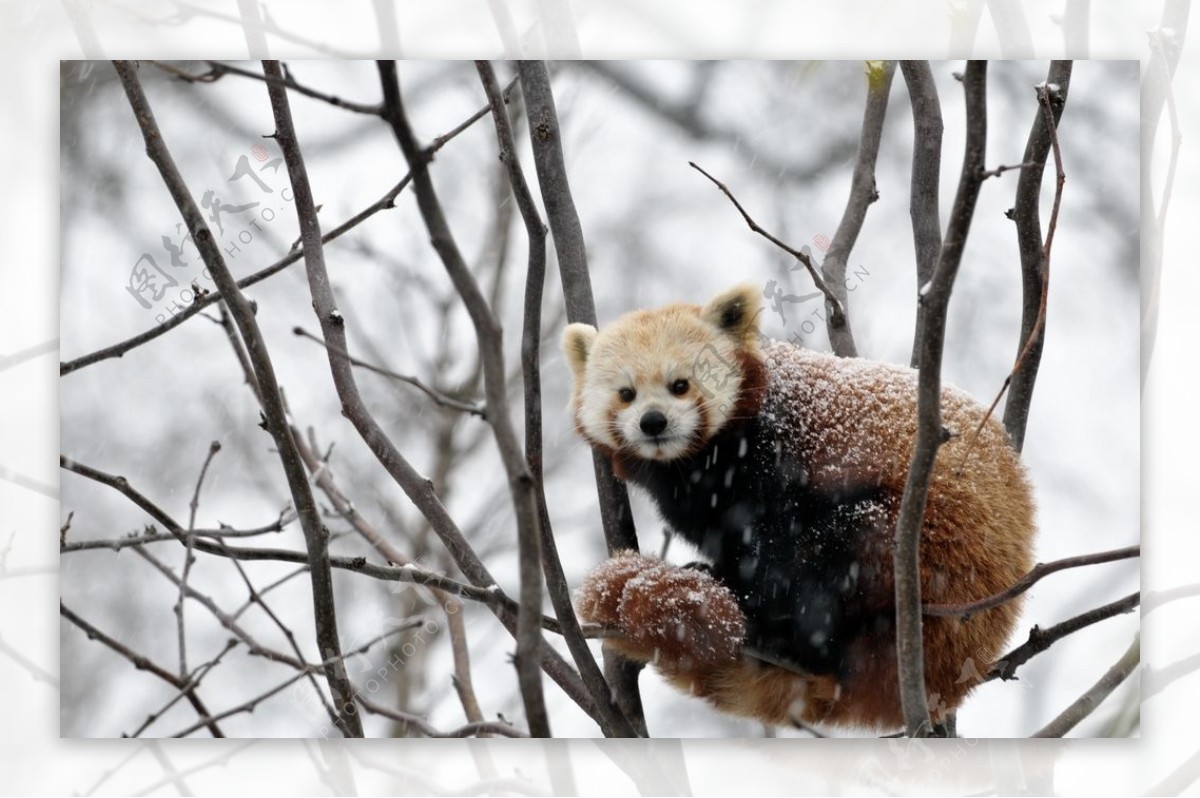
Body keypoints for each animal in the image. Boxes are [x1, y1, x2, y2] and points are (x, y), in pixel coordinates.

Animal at [566, 283, 1036, 729]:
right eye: (626, 394)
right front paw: (713, 571)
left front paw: (741, 588)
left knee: (837, 551)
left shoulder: (773, 459)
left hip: (925, 555)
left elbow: (775, 540)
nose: (653, 422)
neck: (695, 466)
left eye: (680, 385)